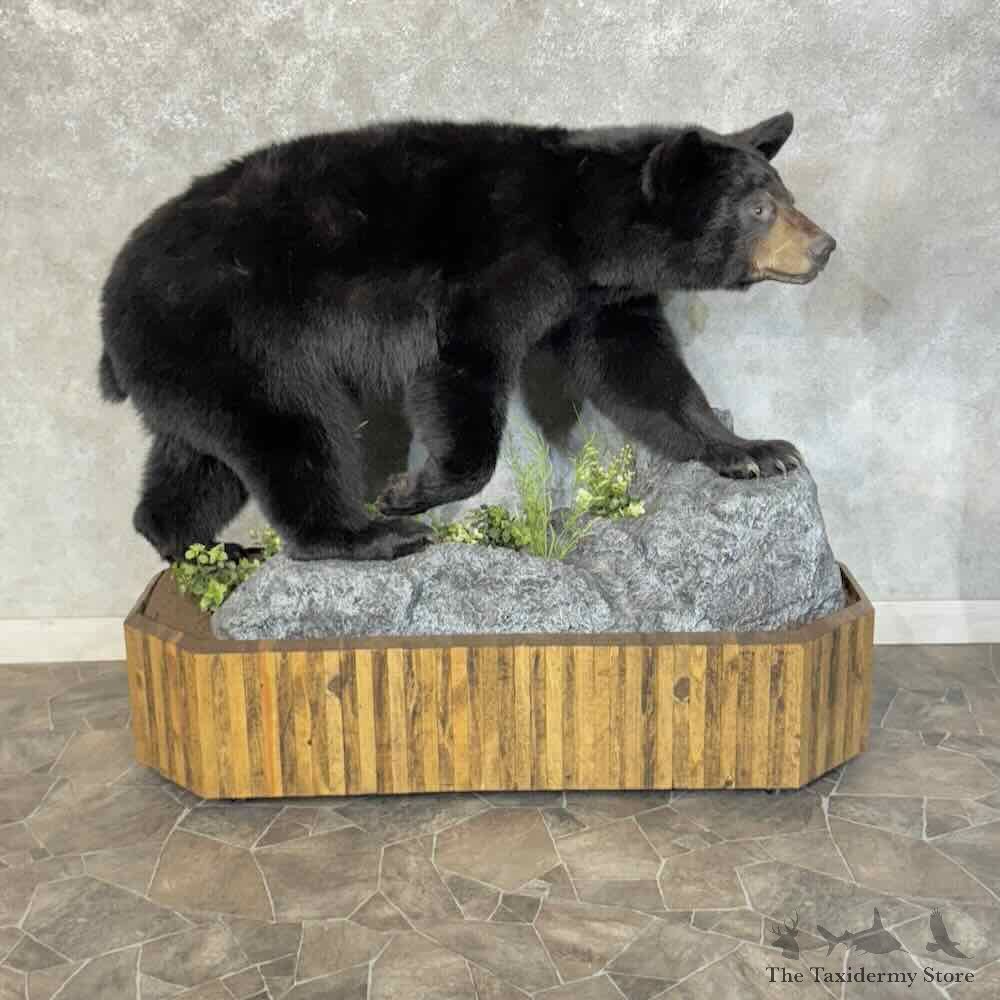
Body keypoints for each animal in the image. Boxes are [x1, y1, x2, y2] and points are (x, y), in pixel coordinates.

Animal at [98, 111, 836, 562]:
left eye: (787, 195)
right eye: (759, 208)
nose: (825, 245)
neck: (581, 225)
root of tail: (111, 298)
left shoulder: (595, 299)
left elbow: (641, 373)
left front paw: (753, 450)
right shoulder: (501, 268)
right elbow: (462, 365)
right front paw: (409, 489)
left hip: (191, 366)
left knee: (201, 459)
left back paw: (201, 547)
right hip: (235, 333)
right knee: (297, 428)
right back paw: (369, 533)